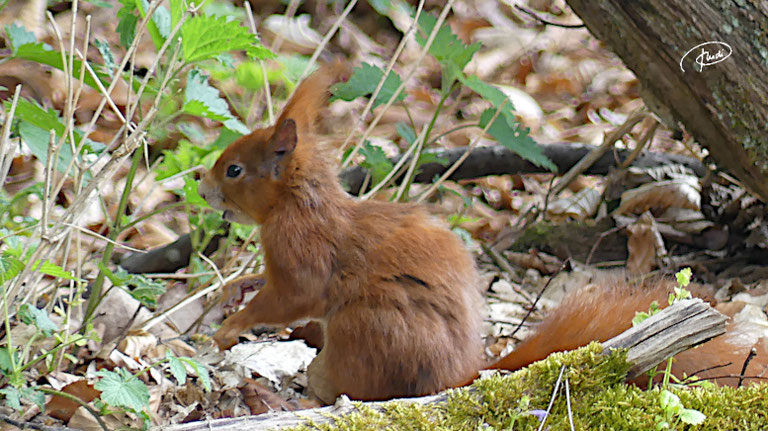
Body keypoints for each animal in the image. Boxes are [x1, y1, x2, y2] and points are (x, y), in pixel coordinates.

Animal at [198, 65, 767, 404]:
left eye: (234, 171)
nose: (201, 187)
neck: (298, 202)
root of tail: (458, 378)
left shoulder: (302, 248)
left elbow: (294, 294)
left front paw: (230, 329)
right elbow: (269, 289)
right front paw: (236, 290)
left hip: (366, 333)